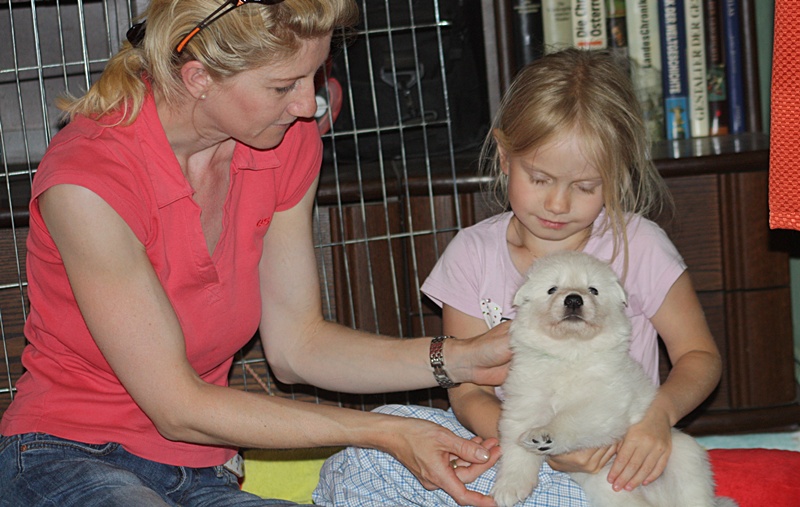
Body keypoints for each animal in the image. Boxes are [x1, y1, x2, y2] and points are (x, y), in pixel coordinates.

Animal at [491, 251, 736, 507]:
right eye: (552, 289)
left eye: (593, 290)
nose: (573, 300)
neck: (570, 353)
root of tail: (658, 499)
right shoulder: (525, 402)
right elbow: (515, 447)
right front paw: (510, 487)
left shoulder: (605, 403)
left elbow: (569, 418)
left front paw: (544, 434)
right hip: (610, 492)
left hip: (684, 456)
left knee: (694, 492)